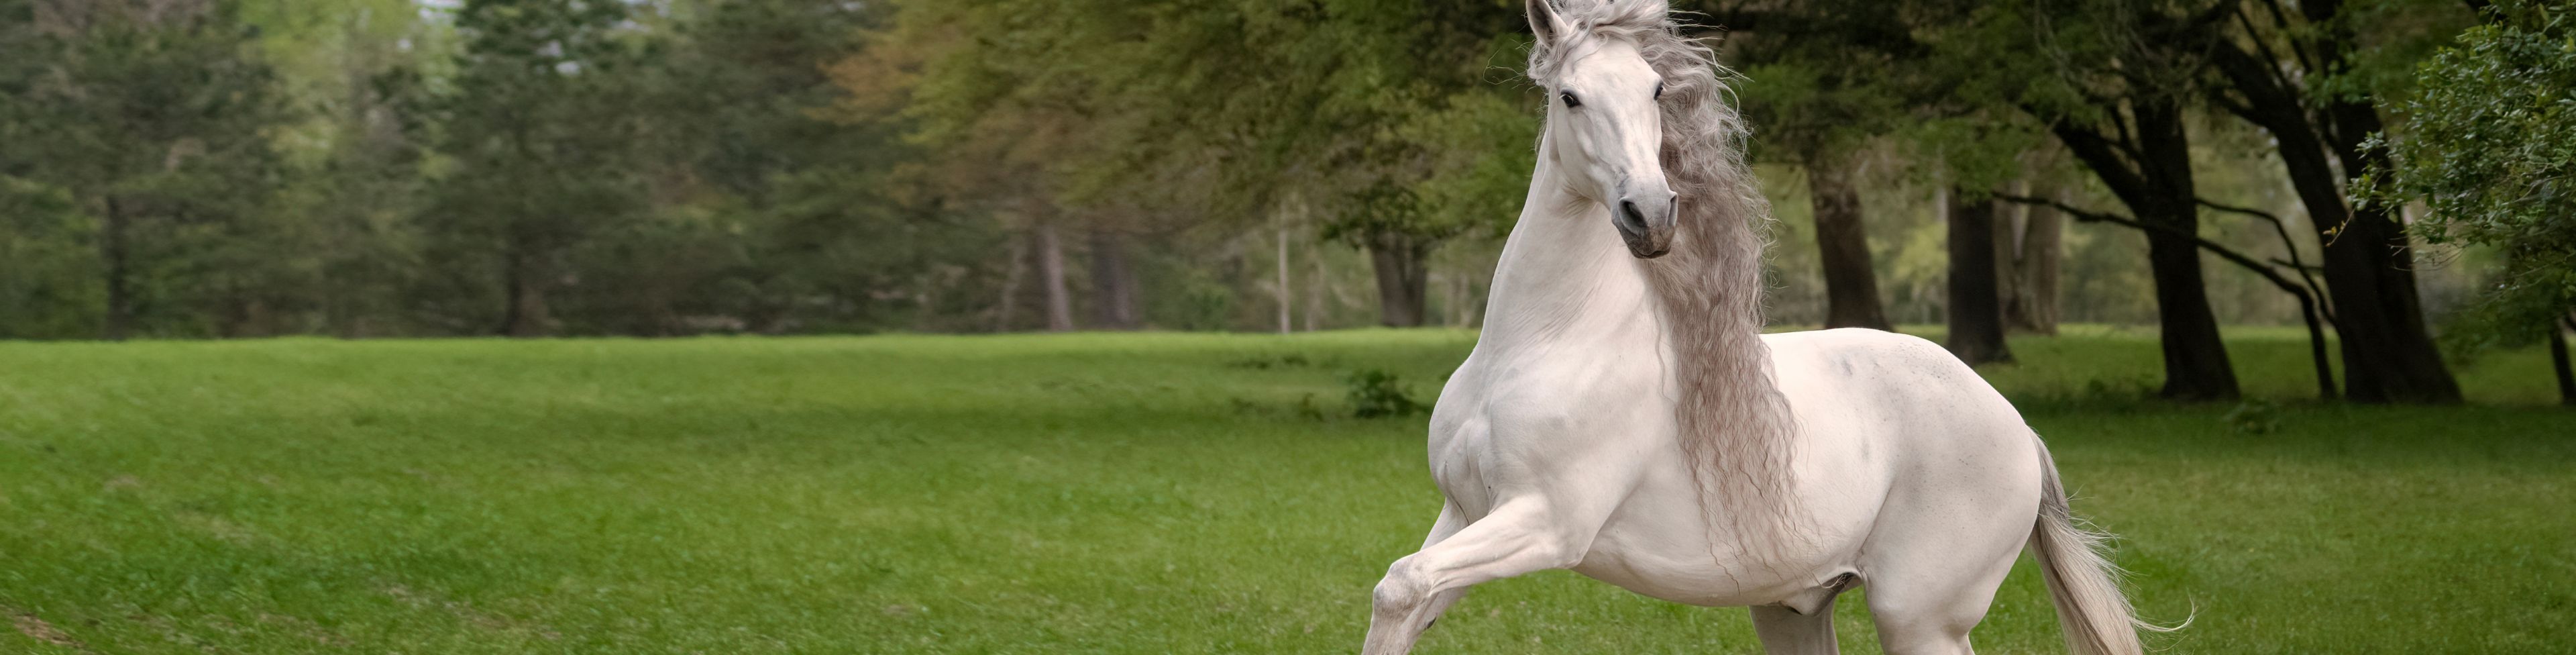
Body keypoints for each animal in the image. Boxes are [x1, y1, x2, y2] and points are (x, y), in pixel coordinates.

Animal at [1358, 2, 2165, 654]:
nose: (1651, 214)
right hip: (1792, 610)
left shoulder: (1548, 522)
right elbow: (1404, 597)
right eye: (1570, 95)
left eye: (1655, 91)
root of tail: (2017, 428)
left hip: (1920, 622)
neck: (1544, 343)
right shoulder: (1464, 514)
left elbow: (1401, 583)